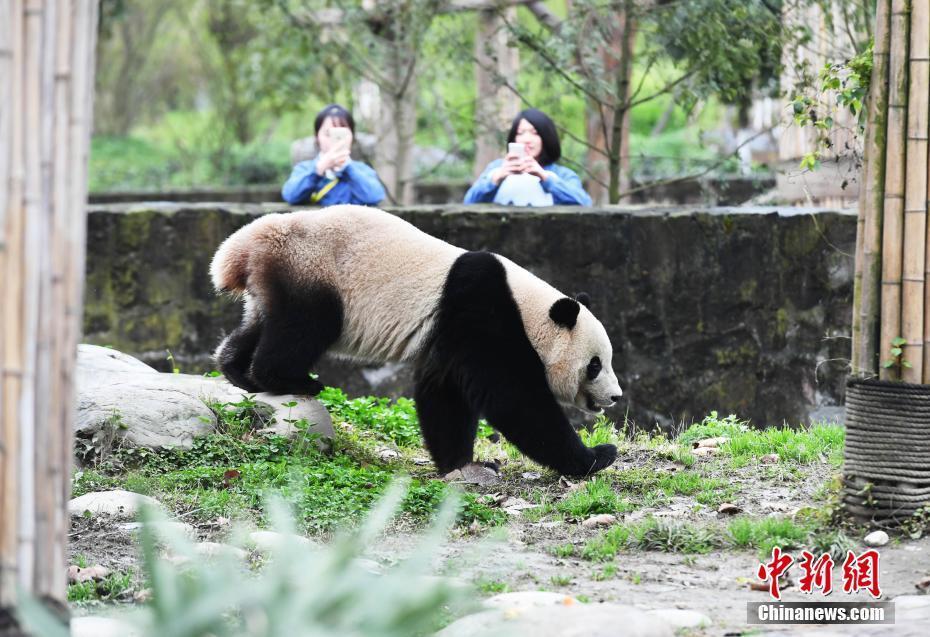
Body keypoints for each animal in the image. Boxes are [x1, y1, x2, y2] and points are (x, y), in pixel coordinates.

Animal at [207, 206, 620, 474]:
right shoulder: (480, 309)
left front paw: (462, 463)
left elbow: (444, 390)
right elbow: (513, 398)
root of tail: (246, 246)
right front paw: (597, 455)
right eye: (595, 365)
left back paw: (237, 371)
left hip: (277, 279)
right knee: (305, 327)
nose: (615, 397)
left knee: (261, 323)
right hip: (312, 269)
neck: (526, 308)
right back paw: (292, 380)